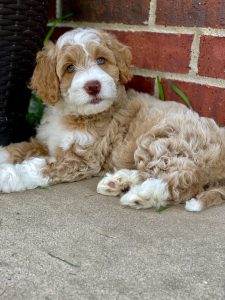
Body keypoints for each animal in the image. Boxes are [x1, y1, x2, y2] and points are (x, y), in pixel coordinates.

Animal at [0, 27, 225, 212]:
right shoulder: (45, 142)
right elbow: (19, 148)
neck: (72, 114)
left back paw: (141, 195)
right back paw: (119, 181)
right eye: (69, 68)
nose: (93, 86)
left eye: (101, 60)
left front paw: (7, 176)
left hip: (162, 139)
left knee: (183, 177)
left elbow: (39, 168)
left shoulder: (83, 160)